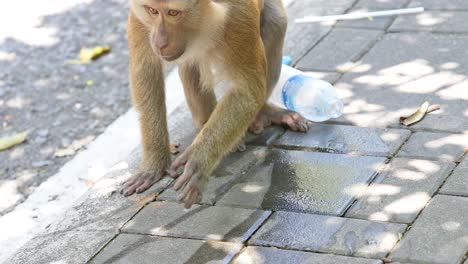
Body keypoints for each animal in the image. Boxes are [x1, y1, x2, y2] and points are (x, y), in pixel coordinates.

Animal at [121, 0, 310, 208]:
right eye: (152, 11)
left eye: (173, 13)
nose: (160, 43)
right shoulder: (140, 19)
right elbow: (146, 71)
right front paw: (154, 163)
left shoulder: (238, 16)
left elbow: (247, 90)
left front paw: (199, 161)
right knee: (191, 61)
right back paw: (207, 123)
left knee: (276, 22)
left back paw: (263, 113)